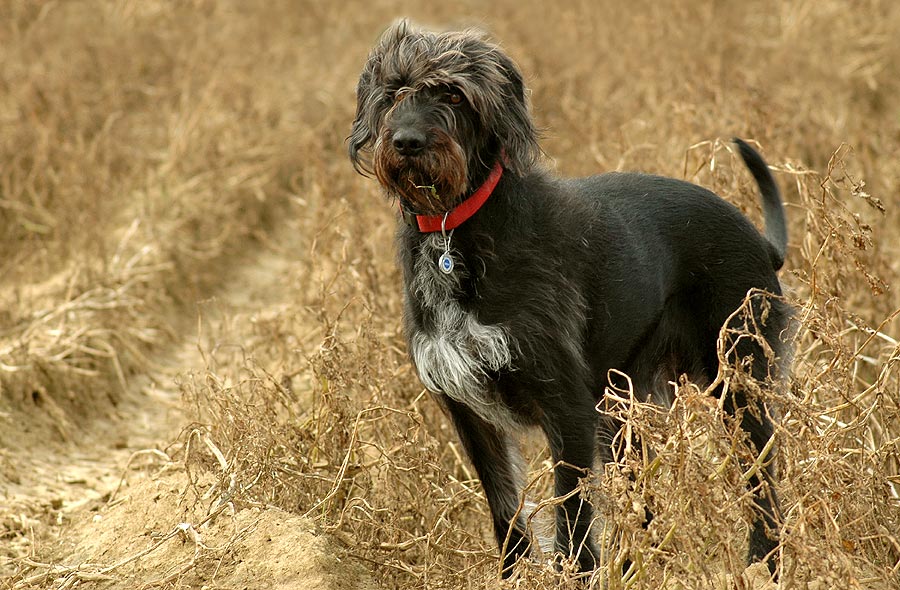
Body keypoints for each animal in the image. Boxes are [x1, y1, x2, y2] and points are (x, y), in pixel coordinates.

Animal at [348, 19, 792, 584]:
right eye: (394, 92)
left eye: (453, 93)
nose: (407, 141)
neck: (455, 229)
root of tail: (758, 239)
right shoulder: (472, 415)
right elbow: (505, 509)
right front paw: (513, 576)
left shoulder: (566, 407)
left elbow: (574, 514)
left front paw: (574, 575)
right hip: (622, 409)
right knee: (645, 502)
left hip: (738, 385)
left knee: (762, 483)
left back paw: (762, 564)